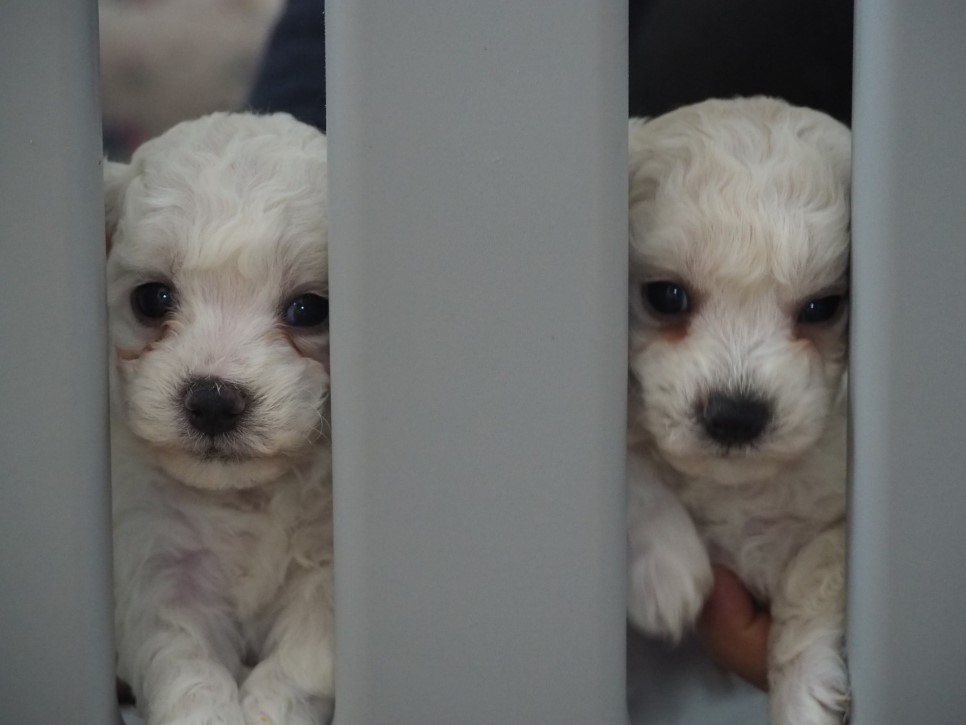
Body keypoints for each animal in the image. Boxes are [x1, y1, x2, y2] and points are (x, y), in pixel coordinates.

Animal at [105, 112, 333, 725]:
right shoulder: (162, 569)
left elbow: (299, 665)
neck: (244, 494)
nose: (212, 400)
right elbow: (186, 668)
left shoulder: (324, 576)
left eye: (310, 309)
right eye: (152, 300)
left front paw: (266, 711)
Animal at [625, 97, 851, 724]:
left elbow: (816, 568)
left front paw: (801, 692)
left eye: (823, 308)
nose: (735, 415)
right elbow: (633, 470)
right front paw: (667, 568)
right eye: (665, 297)